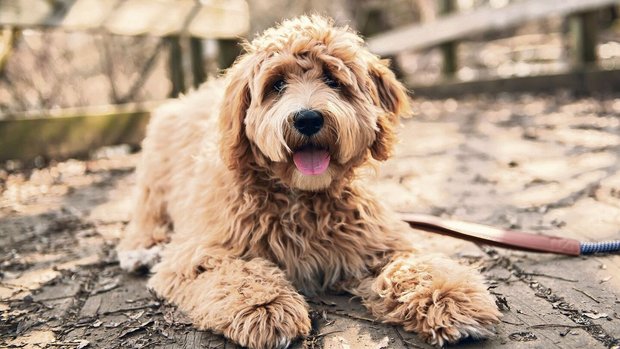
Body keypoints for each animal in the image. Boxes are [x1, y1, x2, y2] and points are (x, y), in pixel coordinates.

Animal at [116, 15, 502, 348]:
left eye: (333, 80)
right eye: (276, 85)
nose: (307, 118)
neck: (301, 196)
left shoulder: (376, 241)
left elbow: (414, 265)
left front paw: (448, 296)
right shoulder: (198, 253)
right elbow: (234, 272)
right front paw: (266, 307)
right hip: (155, 177)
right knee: (146, 215)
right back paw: (142, 248)